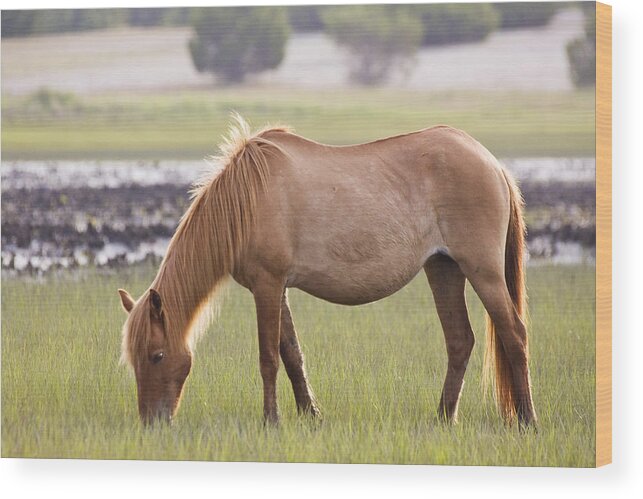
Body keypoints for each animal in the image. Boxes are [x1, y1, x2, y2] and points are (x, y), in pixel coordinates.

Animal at [118, 116, 536, 430]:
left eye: (156, 355)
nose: (152, 424)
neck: (248, 198)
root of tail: (493, 164)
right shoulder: (276, 288)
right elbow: (291, 353)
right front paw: (310, 415)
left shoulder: (267, 285)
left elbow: (268, 356)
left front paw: (271, 421)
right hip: (443, 269)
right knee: (460, 341)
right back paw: (443, 418)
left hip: (482, 271)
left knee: (513, 334)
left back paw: (527, 420)